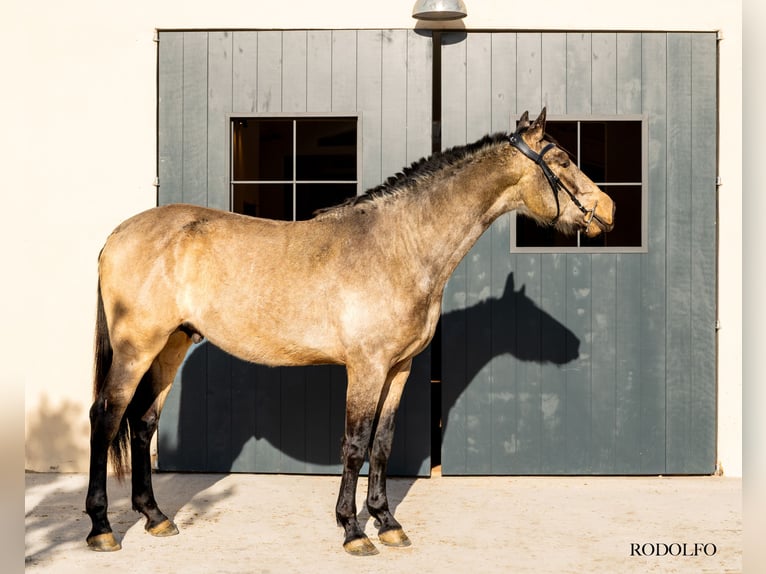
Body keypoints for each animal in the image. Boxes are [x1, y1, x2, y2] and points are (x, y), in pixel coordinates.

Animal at [85, 109, 615, 556]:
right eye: (563, 160)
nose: (608, 210)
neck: (399, 245)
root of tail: (117, 234)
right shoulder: (366, 367)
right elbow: (355, 443)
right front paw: (353, 530)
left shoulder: (399, 369)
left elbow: (382, 443)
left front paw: (387, 522)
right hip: (136, 349)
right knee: (106, 417)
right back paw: (102, 528)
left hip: (171, 346)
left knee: (142, 422)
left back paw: (156, 517)